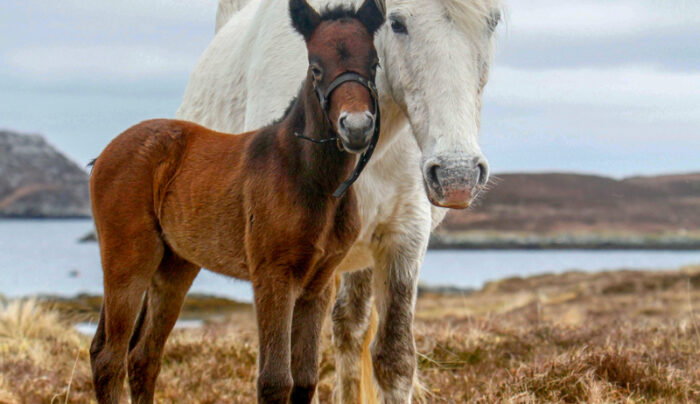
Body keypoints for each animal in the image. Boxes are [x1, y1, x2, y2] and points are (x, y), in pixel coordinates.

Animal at [88, 0, 386, 402]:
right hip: (129, 259)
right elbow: (275, 380)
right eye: (316, 67)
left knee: (142, 357)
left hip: (174, 267)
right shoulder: (273, 277)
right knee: (110, 357)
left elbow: (305, 378)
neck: (308, 178)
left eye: (373, 63)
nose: (356, 128)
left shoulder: (317, 285)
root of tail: (106, 153)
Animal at [178, 0, 500, 400]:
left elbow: (394, 359)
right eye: (397, 23)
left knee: (349, 328)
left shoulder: (404, 239)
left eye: (492, 22)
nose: (458, 176)